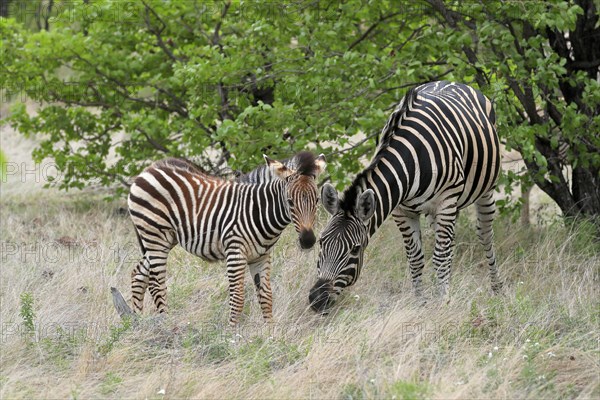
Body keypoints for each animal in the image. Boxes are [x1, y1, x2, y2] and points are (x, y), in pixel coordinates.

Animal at [125, 152, 324, 324]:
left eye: (317, 200)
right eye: (290, 201)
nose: (308, 241)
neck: (258, 210)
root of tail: (149, 169)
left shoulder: (261, 256)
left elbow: (266, 296)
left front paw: (270, 334)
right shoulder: (235, 252)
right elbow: (238, 297)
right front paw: (232, 336)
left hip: (164, 239)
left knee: (138, 274)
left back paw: (136, 324)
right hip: (155, 235)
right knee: (156, 284)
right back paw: (165, 325)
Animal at [310, 81, 502, 312]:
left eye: (355, 250)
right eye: (321, 241)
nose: (317, 300)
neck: (411, 160)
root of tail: (454, 82)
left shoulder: (445, 202)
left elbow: (440, 257)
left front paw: (443, 304)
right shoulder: (401, 211)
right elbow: (416, 259)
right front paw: (421, 304)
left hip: (485, 190)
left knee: (484, 235)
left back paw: (497, 288)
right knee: (448, 243)